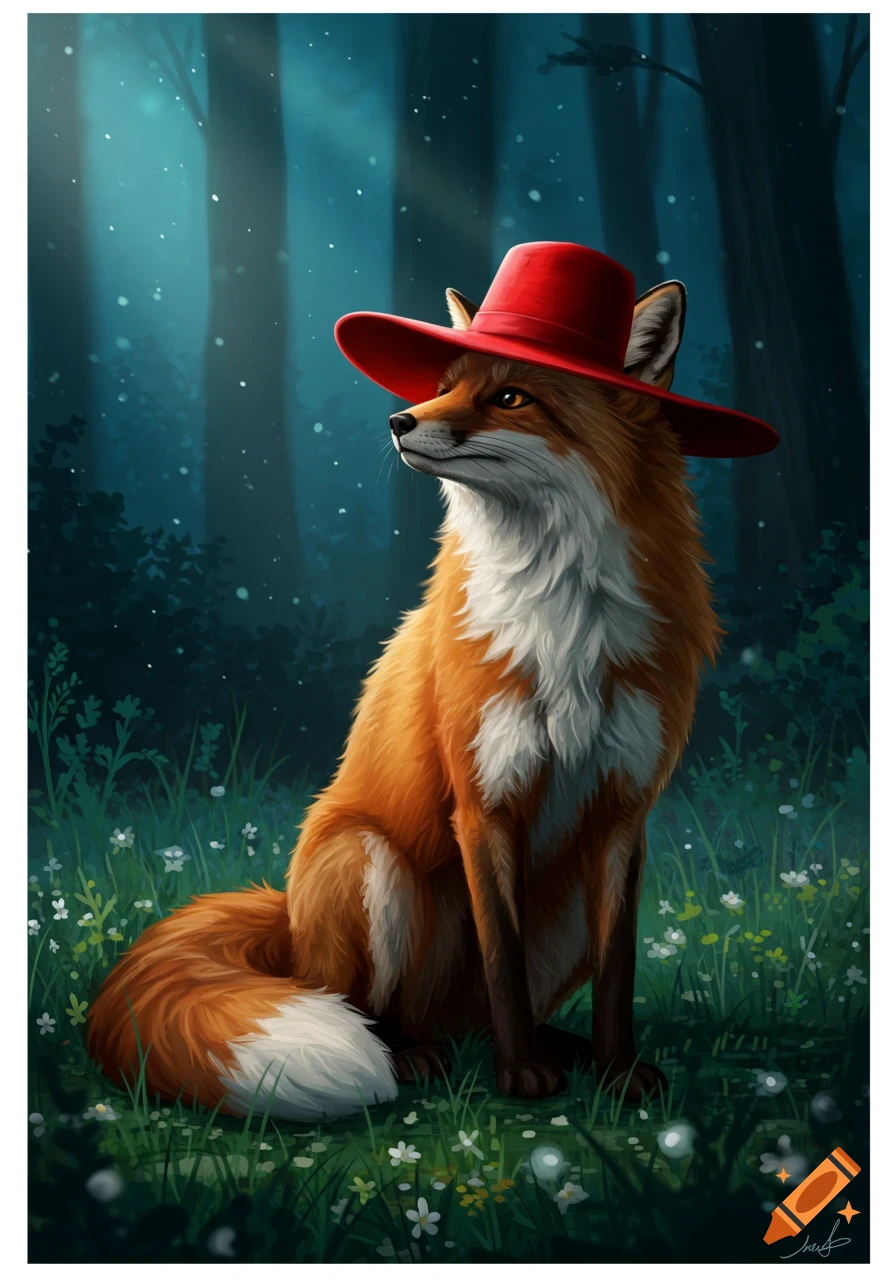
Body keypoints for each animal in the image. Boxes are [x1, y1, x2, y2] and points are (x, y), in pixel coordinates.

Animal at [88, 272, 720, 1120]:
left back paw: (559, 1047)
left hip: (558, 910)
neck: (564, 616)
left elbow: (617, 970)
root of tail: (288, 923)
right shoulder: (484, 803)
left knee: (477, 1009)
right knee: (372, 1009)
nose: (397, 420)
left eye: (510, 395)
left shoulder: (623, 811)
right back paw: (413, 1055)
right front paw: (522, 1077)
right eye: (444, 386)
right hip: (369, 862)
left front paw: (618, 1072)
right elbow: (500, 957)